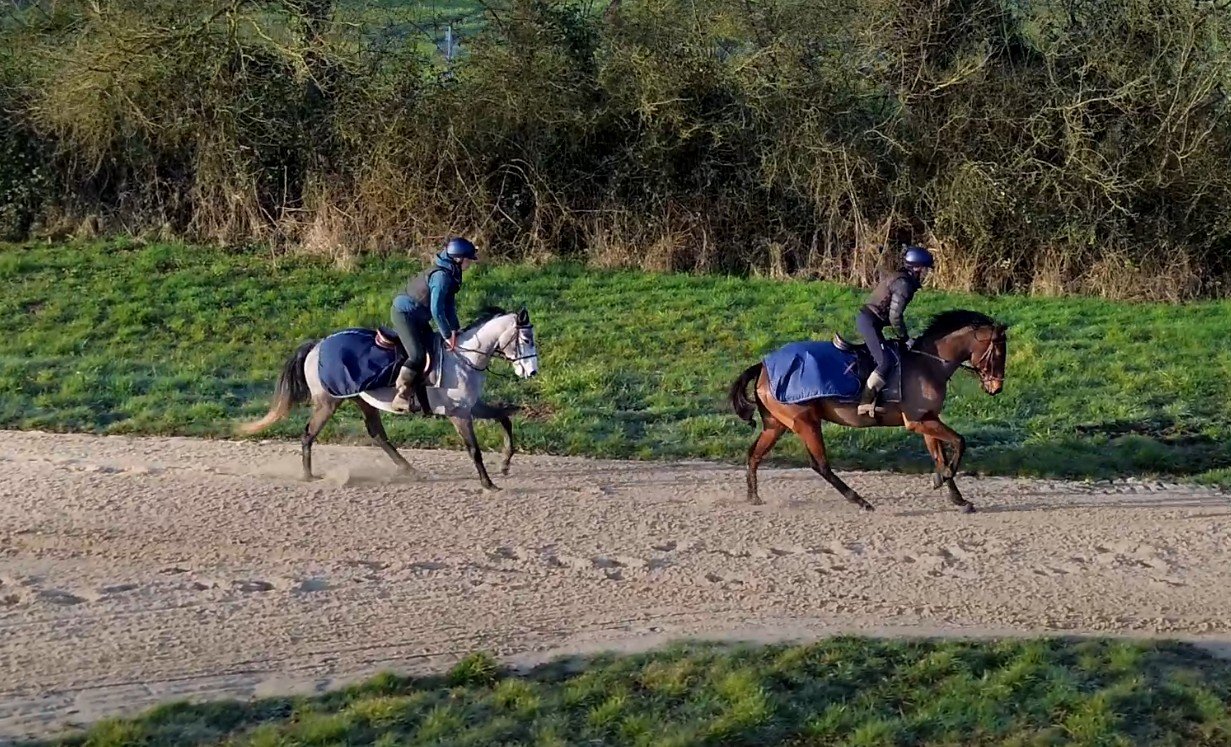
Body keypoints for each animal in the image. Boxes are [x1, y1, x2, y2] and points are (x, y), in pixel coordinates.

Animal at [237, 306, 539, 490]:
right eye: (525, 339)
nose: (532, 371)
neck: (464, 357)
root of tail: (317, 345)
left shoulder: (471, 407)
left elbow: (504, 417)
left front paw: (504, 464)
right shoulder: (459, 414)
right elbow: (474, 449)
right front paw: (488, 483)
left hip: (362, 401)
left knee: (378, 435)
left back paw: (410, 470)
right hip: (328, 402)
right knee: (308, 434)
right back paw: (309, 476)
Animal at [727, 309, 1007, 513]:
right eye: (998, 353)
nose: (996, 387)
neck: (928, 362)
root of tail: (763, 367)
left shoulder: (928, 419)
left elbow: (940, 455)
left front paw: (957, 497)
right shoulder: (917, 421)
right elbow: (960, 442)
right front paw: (945, 477)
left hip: (776, 424)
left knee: (754, 455)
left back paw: (753, 497)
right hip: (805, 421)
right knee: (820, 465)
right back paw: (860, 501)